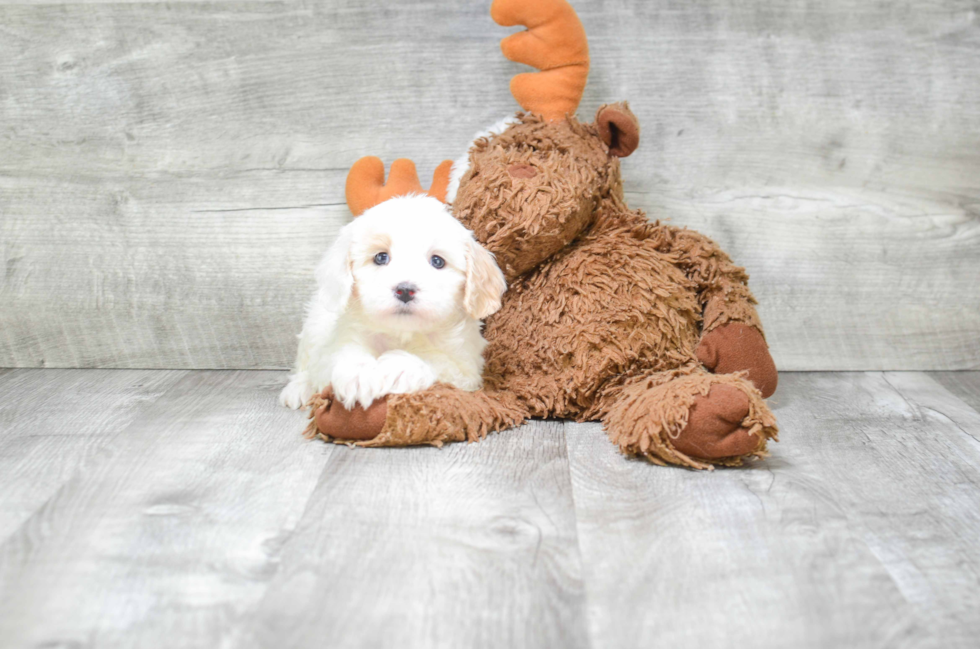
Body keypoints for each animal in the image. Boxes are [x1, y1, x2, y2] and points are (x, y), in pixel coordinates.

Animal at [276, 192, 506, 410]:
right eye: (380, 257)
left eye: (437, 261)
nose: (405, 290)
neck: (402, 333)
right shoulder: (340, 340)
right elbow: (341, 353)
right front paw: (359, 374)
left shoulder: (467, 369)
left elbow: (440, 363)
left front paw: (400, 367)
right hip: (314, 325)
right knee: (304, 364)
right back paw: (298, 388)